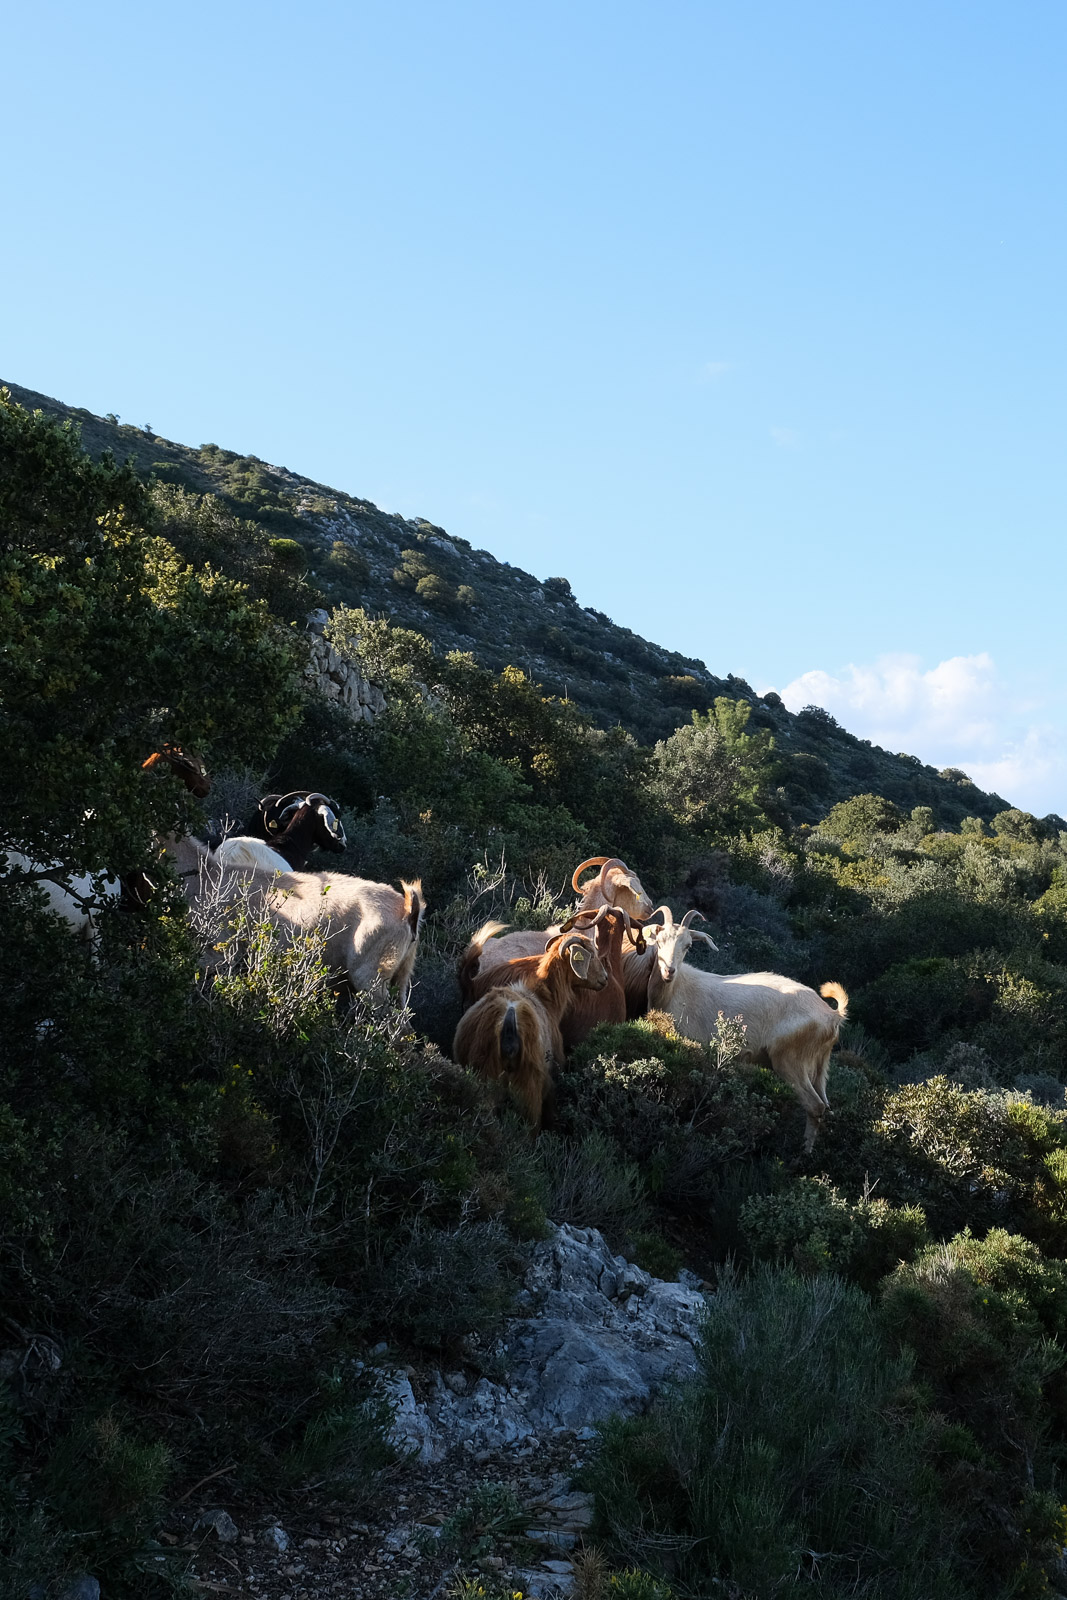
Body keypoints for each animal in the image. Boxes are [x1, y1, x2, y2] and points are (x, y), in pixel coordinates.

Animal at [642, 908, 848, 1150]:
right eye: (659, 940)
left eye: (688, 946)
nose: (669, 971)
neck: (675, 990)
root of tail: (833, 1016)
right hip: (819, 1065)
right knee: (825, 1106)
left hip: (790, 1060)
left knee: (815, 1105)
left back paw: (802, 1152)